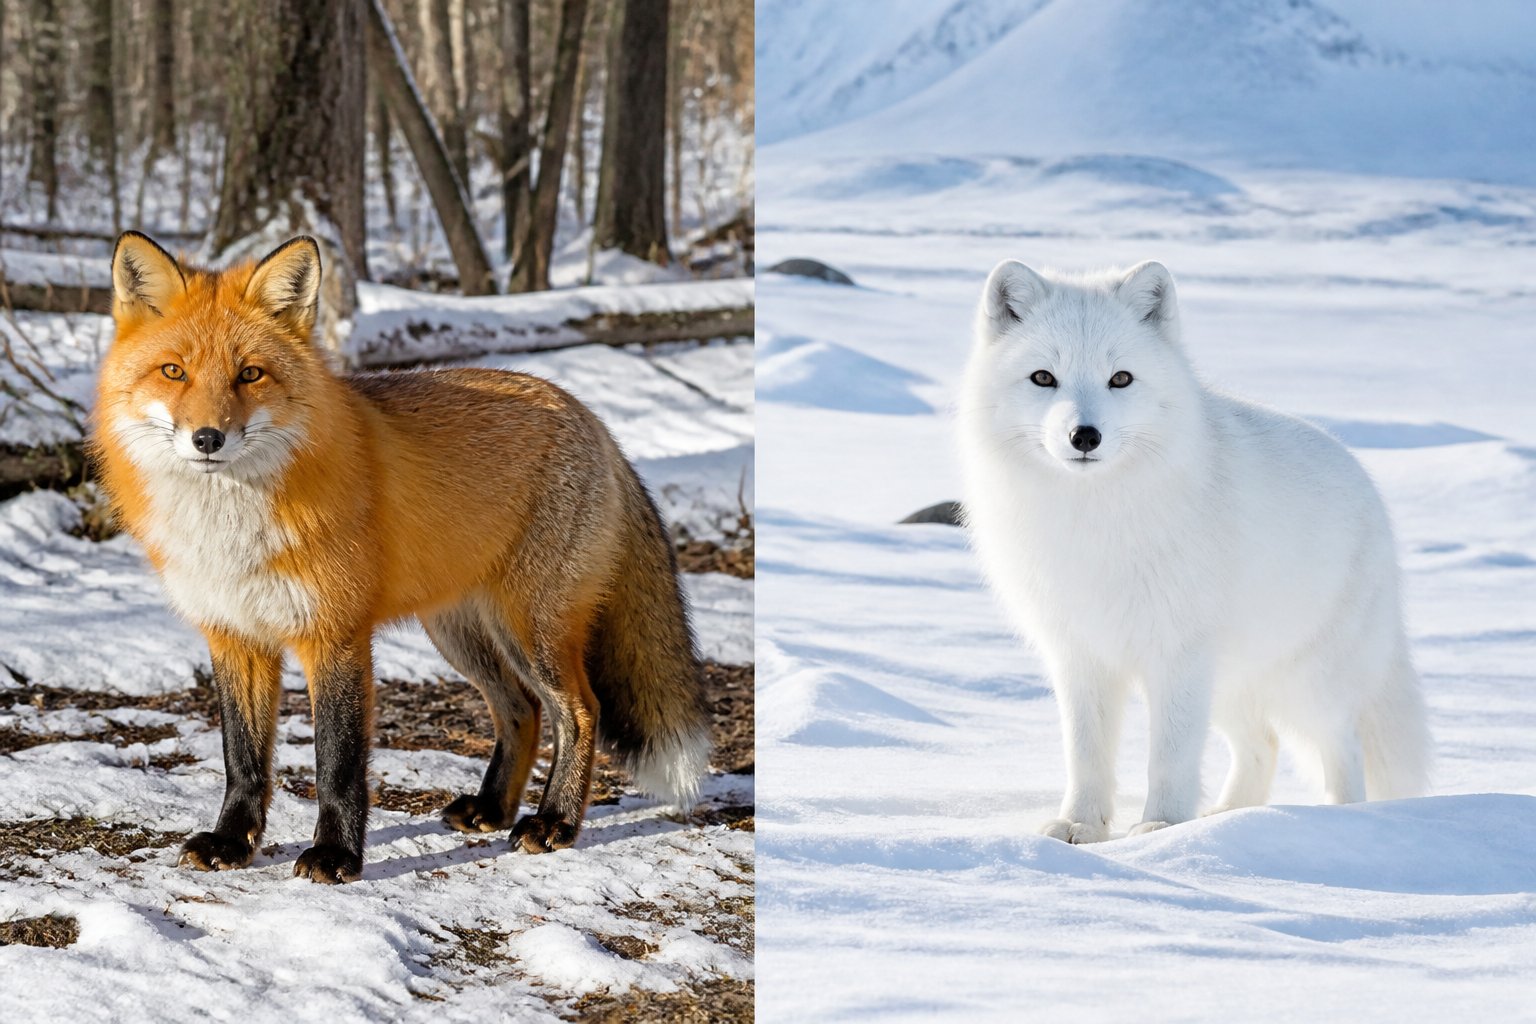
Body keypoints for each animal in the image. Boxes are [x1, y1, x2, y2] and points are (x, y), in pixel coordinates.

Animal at [90, 231, 711, 883]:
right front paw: (232, 842)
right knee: (521, 712)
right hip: (461, 634)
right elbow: (244, 759)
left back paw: (554, 821)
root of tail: (591, 418)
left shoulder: (336, 635)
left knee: (579, 711)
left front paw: (337, 855)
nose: (207, 438)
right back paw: (492, 808)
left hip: (531, 629)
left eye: (250, 374)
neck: (232, 529)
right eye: (174, 371)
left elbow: (337, 763)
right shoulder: (235, 635)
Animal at [958, 258, 1430, 843]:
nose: (1084, 435)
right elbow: (1086, 754)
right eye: (1044, 377)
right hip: (1231, 684)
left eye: (1120, 378)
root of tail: (1366, 483)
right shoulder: (1080, 655)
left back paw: (1339, 821)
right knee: (1263, 745)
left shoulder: (1179, 654)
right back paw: (1229, 819)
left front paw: (1160, 826)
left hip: (1307, 682)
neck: (1096, 520)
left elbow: (1171, 754)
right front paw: (1081, 826)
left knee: (1342, 746)